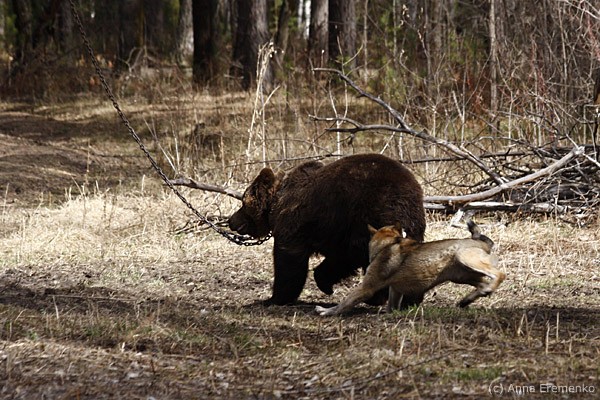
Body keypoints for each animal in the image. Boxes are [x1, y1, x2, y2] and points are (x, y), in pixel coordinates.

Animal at [228, 153, 426, 306]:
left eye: (242, 203)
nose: (231, 221)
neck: (276, 203)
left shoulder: (298, 224)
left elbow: (289, 261)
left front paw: (274, 298)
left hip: (372, 210)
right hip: (412, 222)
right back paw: (409, 299)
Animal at [316, 219, 506, 316]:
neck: (389, 243)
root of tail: (481, 241)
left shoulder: (366, 288)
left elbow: (344, 303)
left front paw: (326, 311)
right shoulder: (395, 290)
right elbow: (391, 307)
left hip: (465, 258)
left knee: (500, 274)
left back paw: (485, 290)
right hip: (461, 276)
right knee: (483, 284)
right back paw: (468, 299)